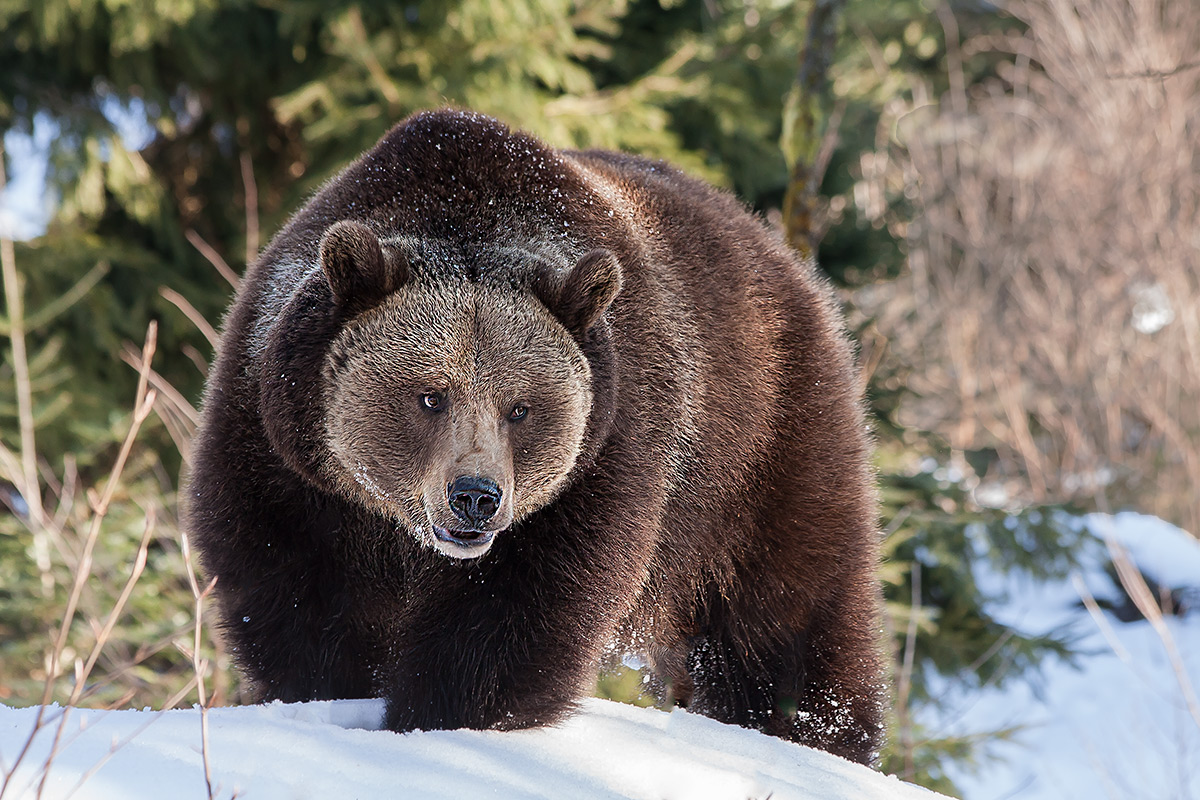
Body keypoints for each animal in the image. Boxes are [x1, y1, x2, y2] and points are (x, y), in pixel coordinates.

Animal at [187, 109, 886, 764]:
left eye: (520, 408)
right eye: (430, 395)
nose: (475, 497)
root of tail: (777, 251)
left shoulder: (603, 457)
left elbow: (511, 617)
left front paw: (442, 717)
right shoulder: (285, 459)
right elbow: (301, 606)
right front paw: (333, 698)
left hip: (758, 450)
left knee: (788, 618)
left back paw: (818, 735)